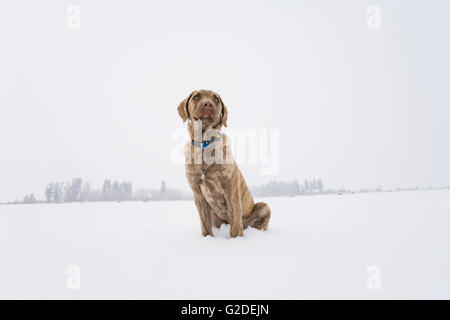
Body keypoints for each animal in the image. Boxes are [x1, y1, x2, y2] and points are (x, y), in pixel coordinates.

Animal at [178, 89, 270, 236]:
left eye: (216, 99)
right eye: (196, 96)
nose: (208, 104)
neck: (204, 144)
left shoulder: (230, 186)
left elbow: (235, 221)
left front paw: (236, 239)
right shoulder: (197, 192)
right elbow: (205, 224)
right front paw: (208, 238)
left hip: (264, 207)